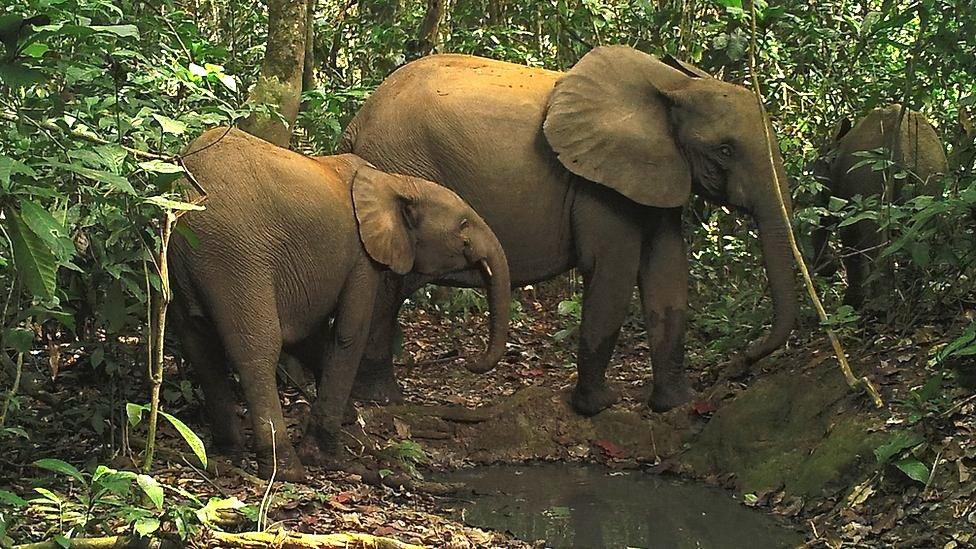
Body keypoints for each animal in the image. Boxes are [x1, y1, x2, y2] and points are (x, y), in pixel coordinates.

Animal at [172, 128, 510, 480]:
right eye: (463, 226)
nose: (470, 361)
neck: (396, 183)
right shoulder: (362, 256)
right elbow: (349, 333)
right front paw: (325, 456)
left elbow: (308, 337)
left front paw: (348, 419)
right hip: (237, 256)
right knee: (257, 351)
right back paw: (287, 469)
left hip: (185, 259)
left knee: (199, 346)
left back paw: (229, 452)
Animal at [340, 46, 796, 416]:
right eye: (725, 150)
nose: (739, 364)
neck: (675, 85)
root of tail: (357, 124)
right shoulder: (598, 182)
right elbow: (613, 270)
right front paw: (598, 407)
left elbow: (667, 272)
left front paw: (676, 404)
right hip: (399, 164)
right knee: (390, 283)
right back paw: (382, 397)